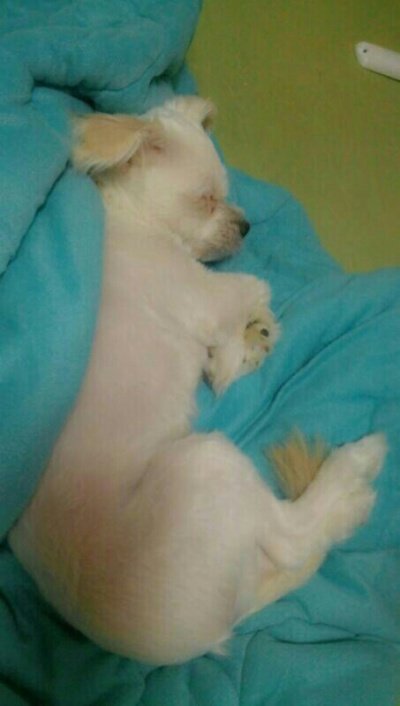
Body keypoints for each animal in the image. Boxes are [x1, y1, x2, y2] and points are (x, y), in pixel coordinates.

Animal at [9, 96, 386, 665]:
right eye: (206, 200)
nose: (247, 225)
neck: (130, 219)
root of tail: (207, 635)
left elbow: (230, 353)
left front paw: (252, 340)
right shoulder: (202, 295)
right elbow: (254, 286)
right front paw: (247, 332)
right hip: (208, 463)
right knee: (293, 538)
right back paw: (355, 474)